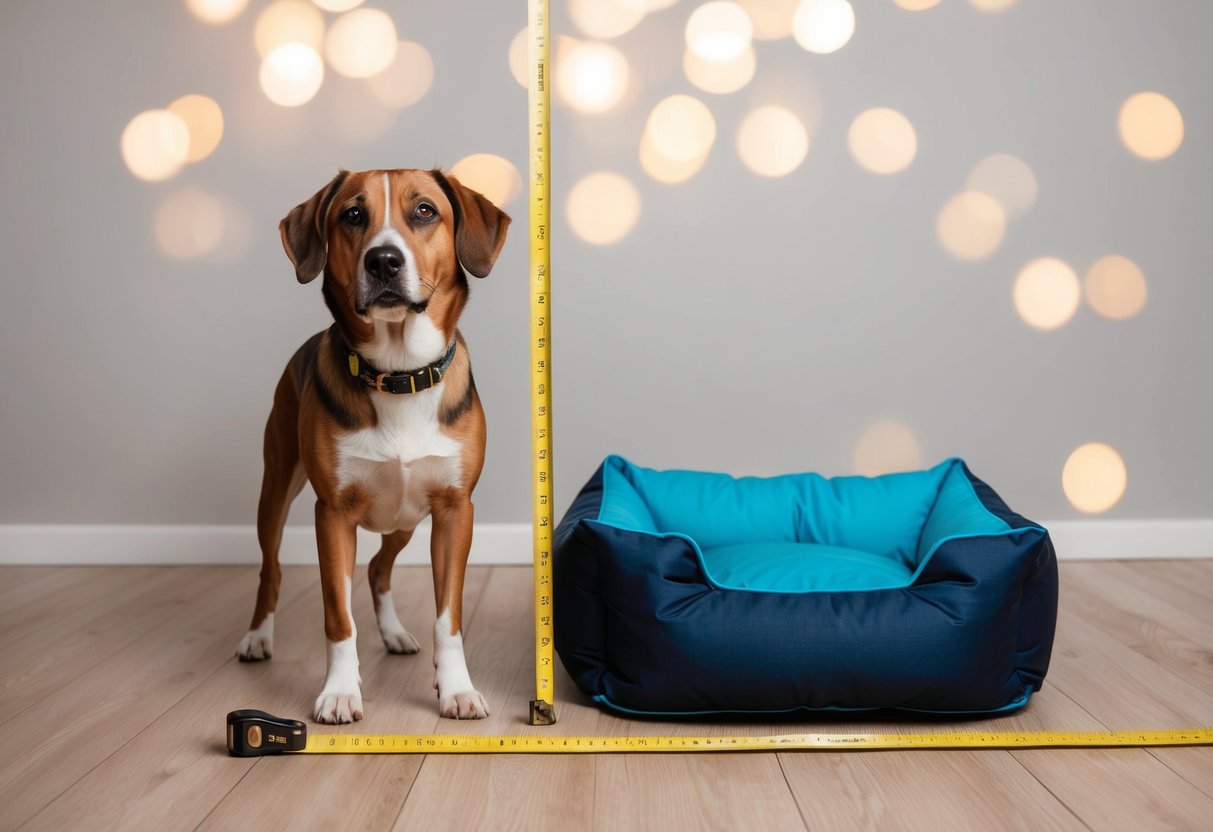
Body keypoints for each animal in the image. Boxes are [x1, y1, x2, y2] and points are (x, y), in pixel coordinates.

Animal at [236, 167, 511, 722]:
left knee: (379, 570)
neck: (398, 373)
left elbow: (448, 618)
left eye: (425, 211)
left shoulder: (455, 511)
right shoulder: (332, 514)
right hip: (275, 490)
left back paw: (395, 633)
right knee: (271, 569)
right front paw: (340, 692)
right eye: (352, 215)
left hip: (403, 518)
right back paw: (257, 637)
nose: (384, 260)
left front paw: (456, 689)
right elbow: (338, 618)